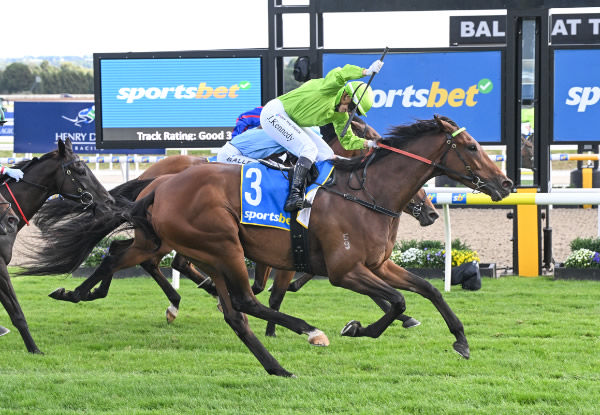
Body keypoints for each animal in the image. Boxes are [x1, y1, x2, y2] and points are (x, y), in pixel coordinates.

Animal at [29, 114, 510, 376]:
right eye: (471, 147)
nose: (505, 184)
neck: (365, 192)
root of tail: (158, 184)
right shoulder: (344, 270)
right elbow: (395, 302)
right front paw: (357, 328)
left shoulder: (377, 264)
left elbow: (426, 291)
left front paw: (461, 342)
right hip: (219, 243)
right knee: (237, 297)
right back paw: (305, 330)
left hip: (184, 242)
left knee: (135, 260)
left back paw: (80, 291)